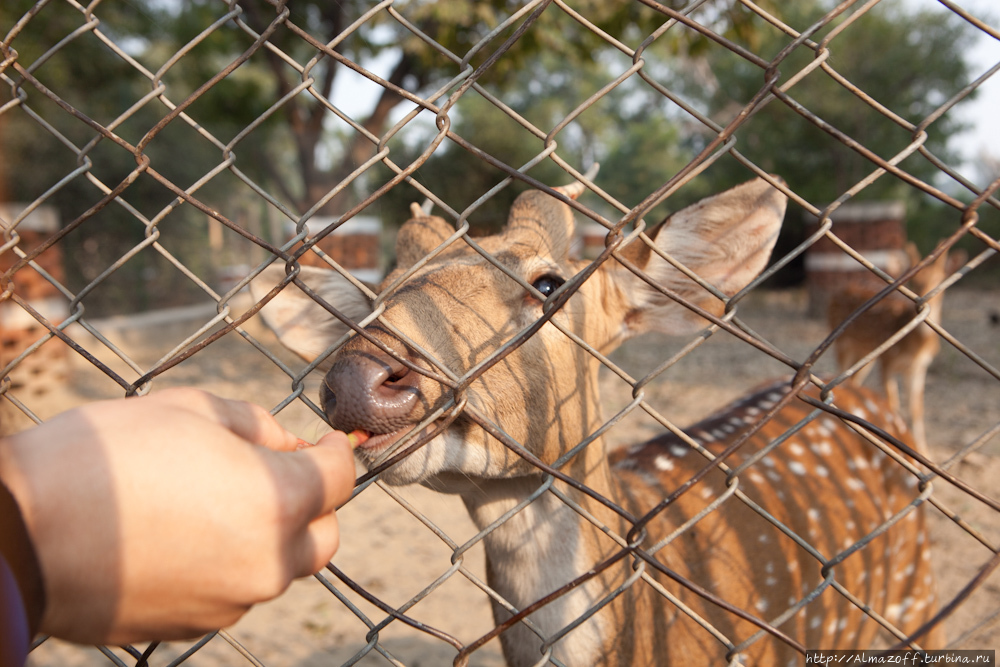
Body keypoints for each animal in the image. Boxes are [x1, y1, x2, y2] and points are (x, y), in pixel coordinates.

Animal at [824, 243, 964, 456]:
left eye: (939, 279)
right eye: (914, 281)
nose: (927, 297)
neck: (914, 345)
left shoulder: (918, 368)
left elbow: (917, 408)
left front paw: (924, 451)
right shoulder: (887, 361)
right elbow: (893, 404)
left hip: (865, 353)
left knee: (854, 382)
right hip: (841, 343)